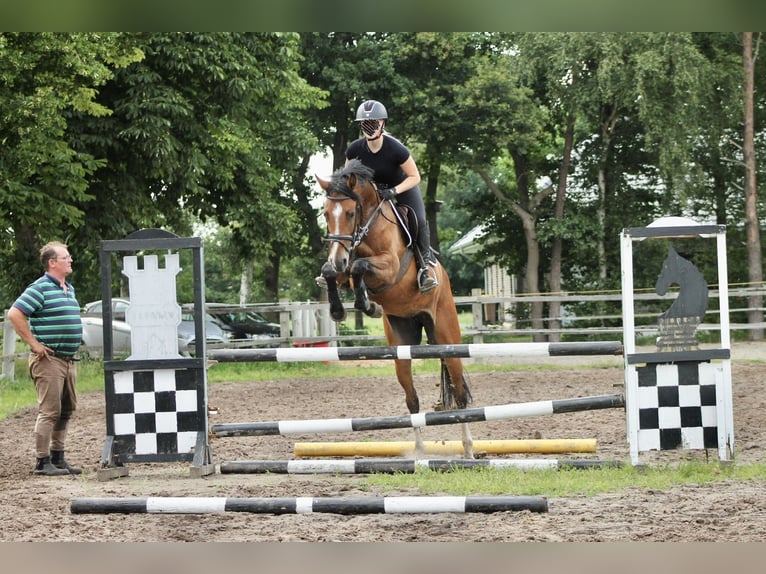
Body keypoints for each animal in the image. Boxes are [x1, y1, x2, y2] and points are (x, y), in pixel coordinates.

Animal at [316, 159, 474, 458]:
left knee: (460, 394)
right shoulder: (342, 268)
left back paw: (469, 450)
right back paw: (420, 452)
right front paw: (343, 309)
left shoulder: (389, 267)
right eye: (326, 214)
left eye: (351, 212)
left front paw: (368, 305)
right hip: (402, 345)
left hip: (447, 338)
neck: (366, 229)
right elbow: (333, 272)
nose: (339, 257)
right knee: (412, 400)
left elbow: (359, 266)